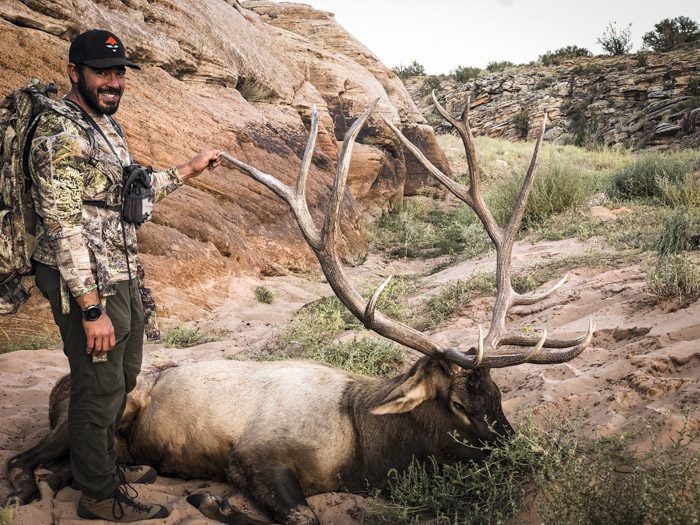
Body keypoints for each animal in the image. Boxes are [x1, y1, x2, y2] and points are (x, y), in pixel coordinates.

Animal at [3, 93, 593, 525]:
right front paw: (208, 500)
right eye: (459, 405)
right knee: (23, 460)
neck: (362, 451)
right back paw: (28, 491)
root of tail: (58, 387)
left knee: (68, 473)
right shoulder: (256, 455)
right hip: (90, 416)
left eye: (499, 395)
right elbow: (302, 516)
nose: (521, 455)